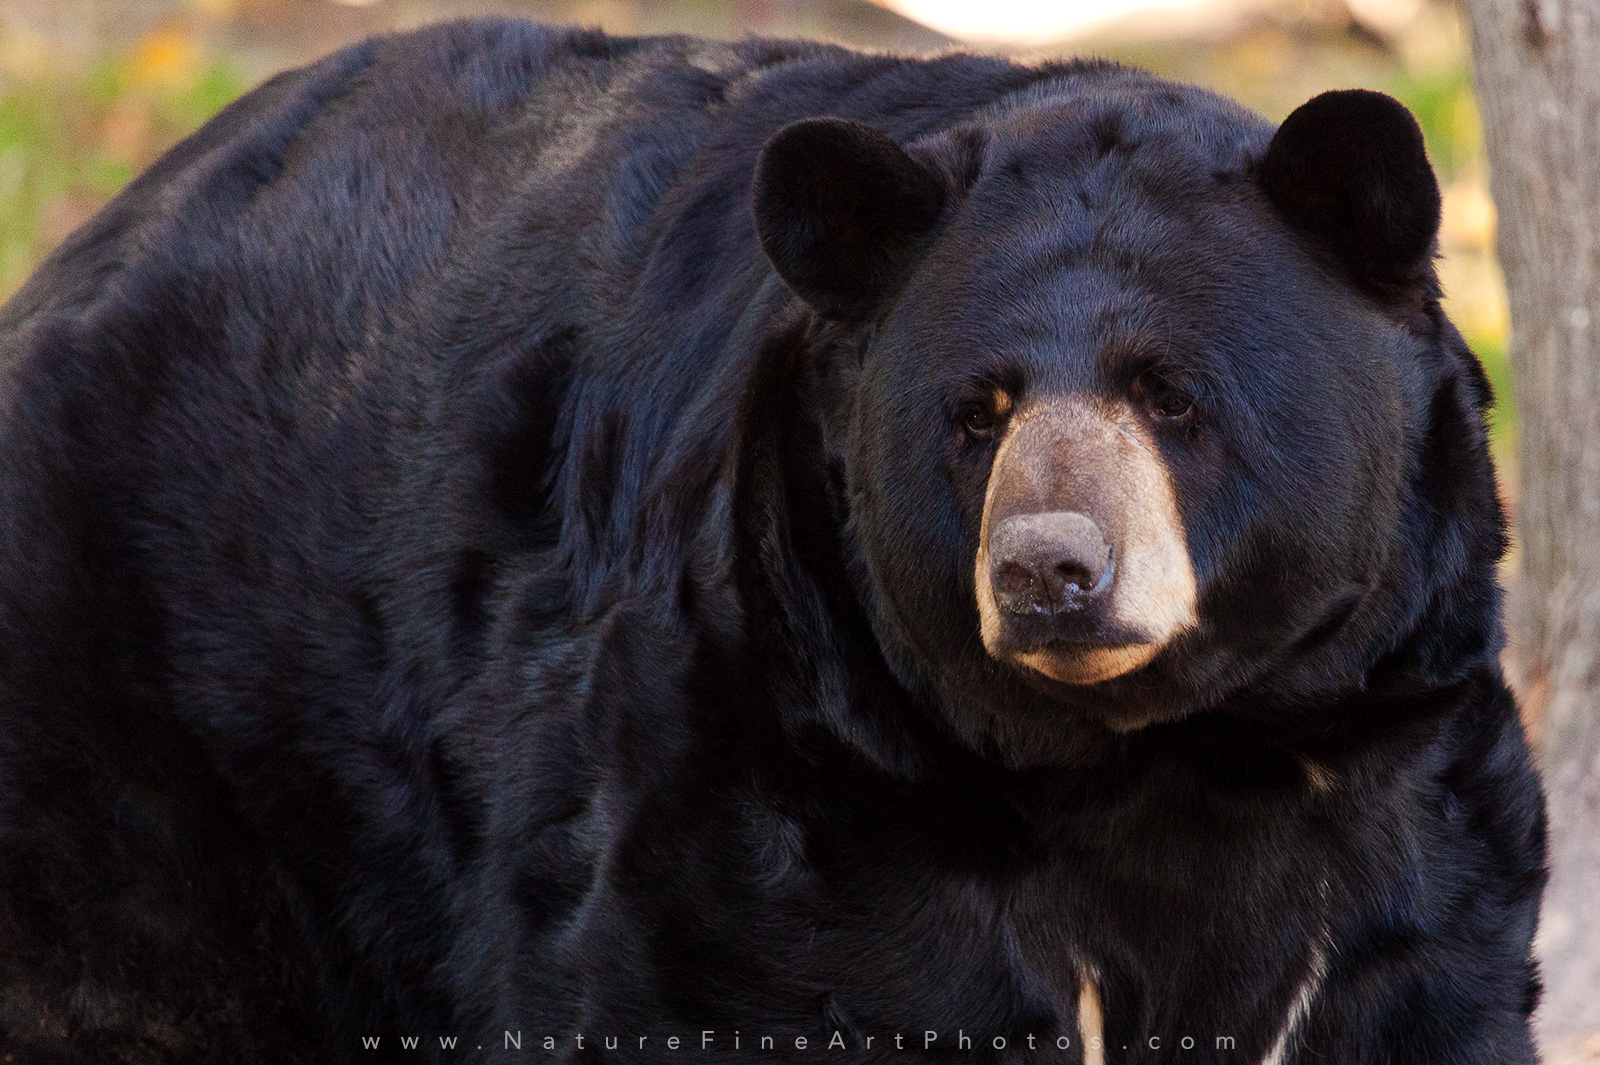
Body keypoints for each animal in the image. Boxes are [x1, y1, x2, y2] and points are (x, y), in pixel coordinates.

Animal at [0, 16, 1548, 1061]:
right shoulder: (788, 758)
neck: (1154, 762)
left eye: (1171, 395)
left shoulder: (1394, 748)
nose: (1048, 573)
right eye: (976, 412)